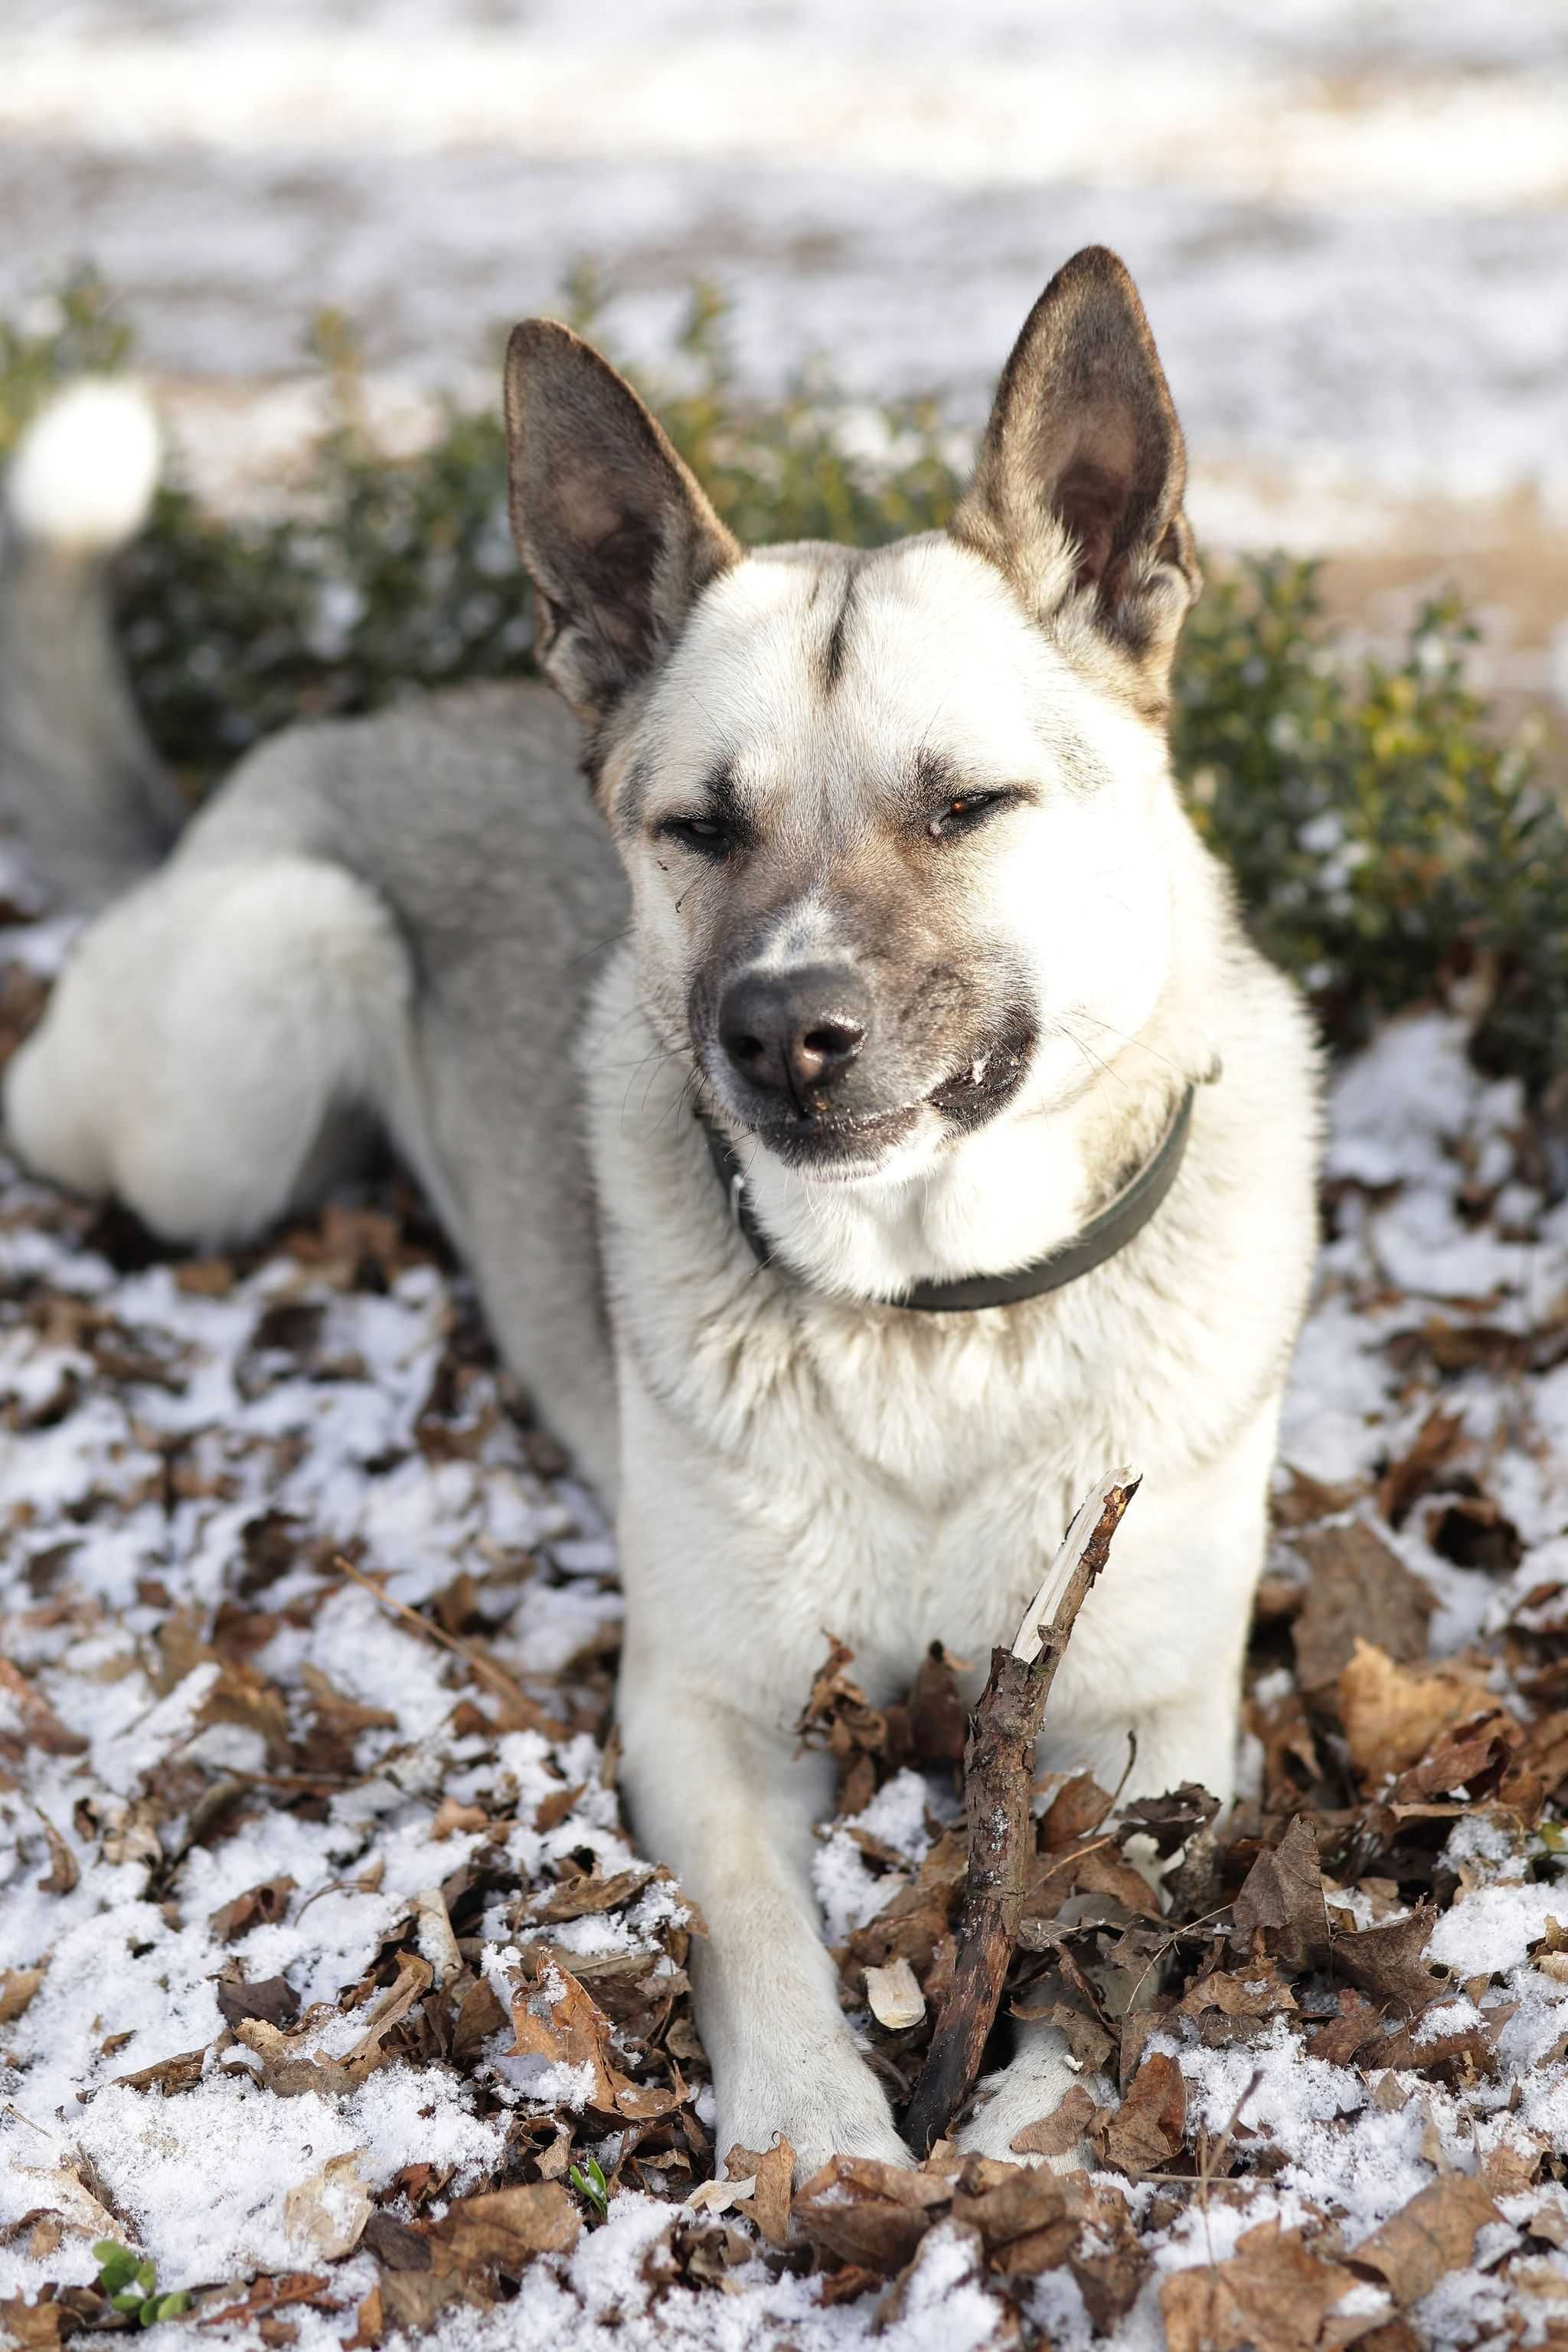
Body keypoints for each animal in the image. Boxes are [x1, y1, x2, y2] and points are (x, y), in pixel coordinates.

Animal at [0, 248, 1325, 2173]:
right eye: (698, 825)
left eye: (965, 805)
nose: (779, 1032)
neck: (937, 1317)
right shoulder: (702, 1710)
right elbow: (753, 1923)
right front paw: (822, 2141)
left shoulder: (1147, 1721)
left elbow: (1101, 1949)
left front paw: (1023, 2148)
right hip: (265, 1019)